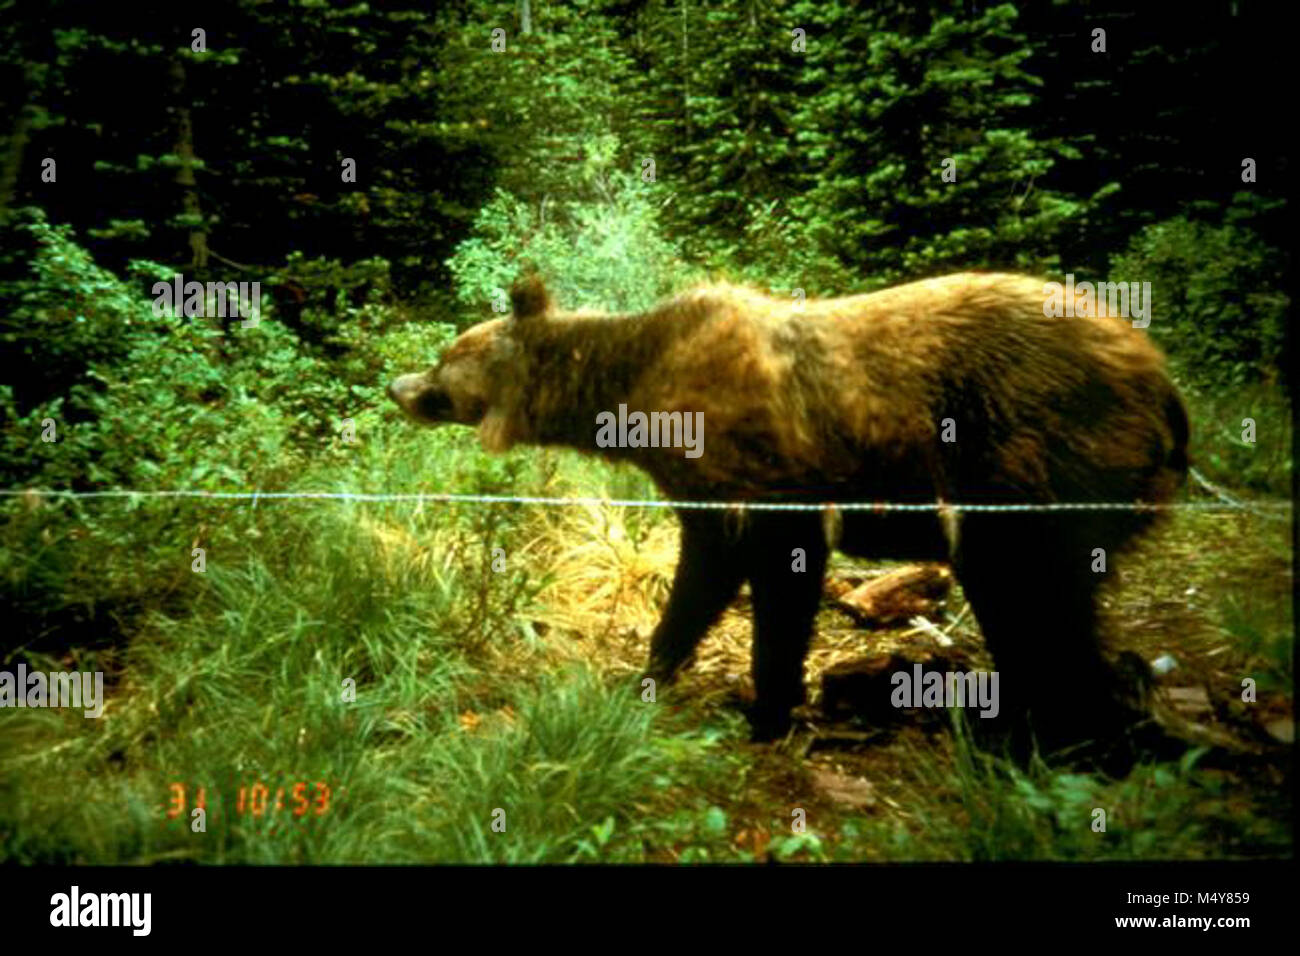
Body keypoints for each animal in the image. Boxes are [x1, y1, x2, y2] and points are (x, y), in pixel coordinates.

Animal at [384, 273, 1190, 749]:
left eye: (445, 354)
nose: (398, 386)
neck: (635, 387)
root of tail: (1161, 379)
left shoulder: (763, 468)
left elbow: (768, 580)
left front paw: (761, 706)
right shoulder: (710, 491)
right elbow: (713, 576)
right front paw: (658, 673)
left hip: (1036, 464)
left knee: (1036, 599)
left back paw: (1050, 729)